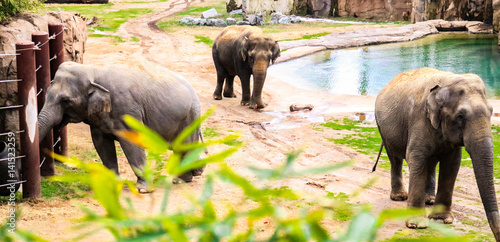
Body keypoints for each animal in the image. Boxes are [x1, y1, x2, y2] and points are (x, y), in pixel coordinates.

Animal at [38, 62, 204, 193]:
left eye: (65, 101)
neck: (93, 71)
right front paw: (110, 185)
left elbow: (131, 144)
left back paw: (182, 180)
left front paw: (143, 189)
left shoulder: (127, 110)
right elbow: (102, 144)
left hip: (189, 117)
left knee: (185, 146)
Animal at [376, 66, 500, 240]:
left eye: (491, 112)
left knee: (431, 162)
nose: (497, 237)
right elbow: (416, 158)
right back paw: (399, 197)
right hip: (383, 129)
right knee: (395, 159)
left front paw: (441, 221)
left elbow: (452, 164)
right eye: (460, 116)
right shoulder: (419, 118)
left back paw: (429, 199)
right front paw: (416, 225)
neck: (448, 80)